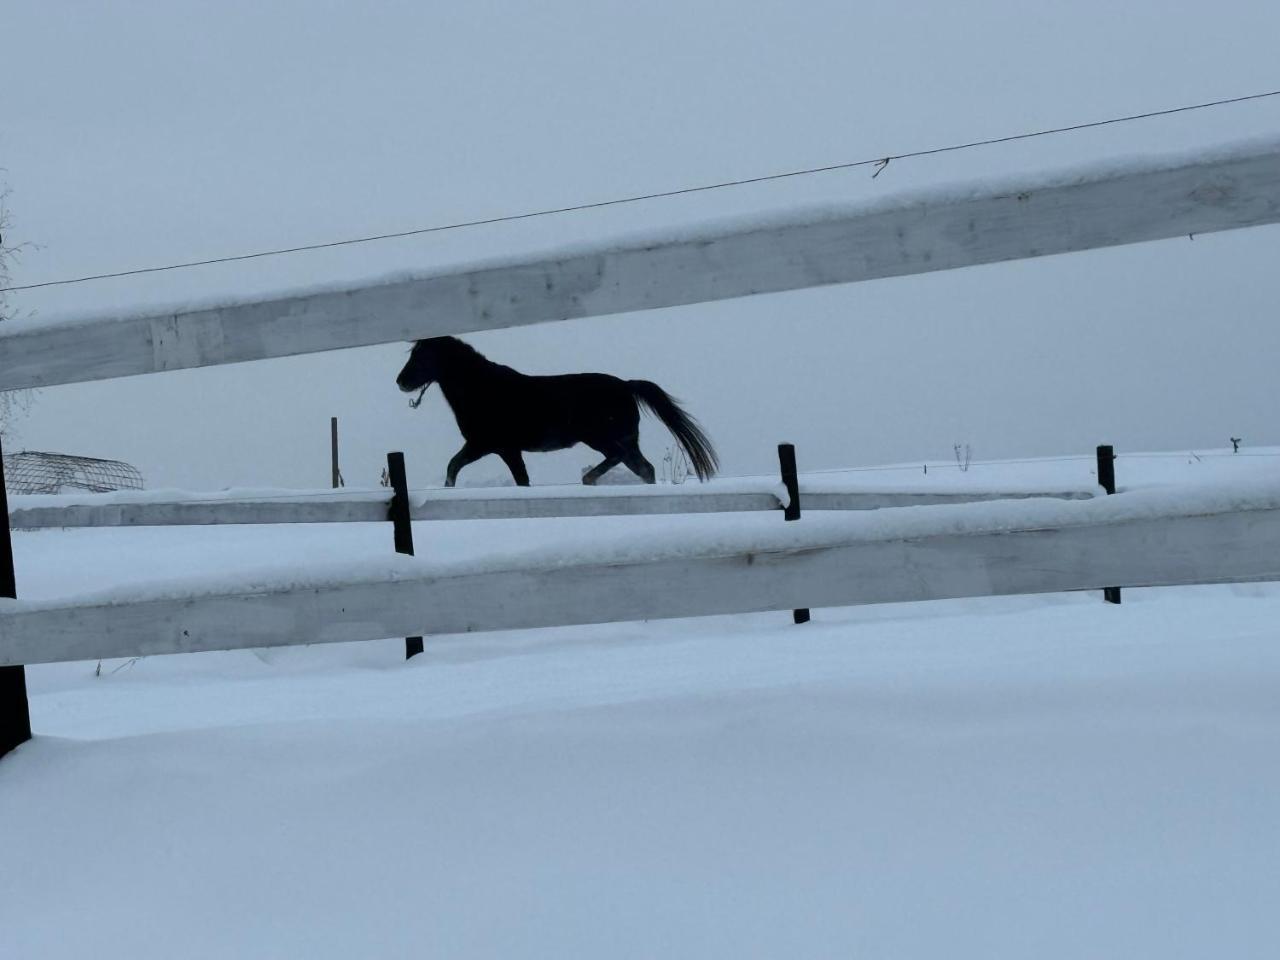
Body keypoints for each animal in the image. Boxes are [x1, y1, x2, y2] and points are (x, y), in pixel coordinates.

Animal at [396, 336, 718, 488]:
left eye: (421, 356)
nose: (400, 382)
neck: (483, 389)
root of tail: (626, 386)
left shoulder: (492, 446)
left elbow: (458, 467)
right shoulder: (493, 448)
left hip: (604, 439)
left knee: (624, 460)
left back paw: (589, 480)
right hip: (625, 441)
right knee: (644, 469)